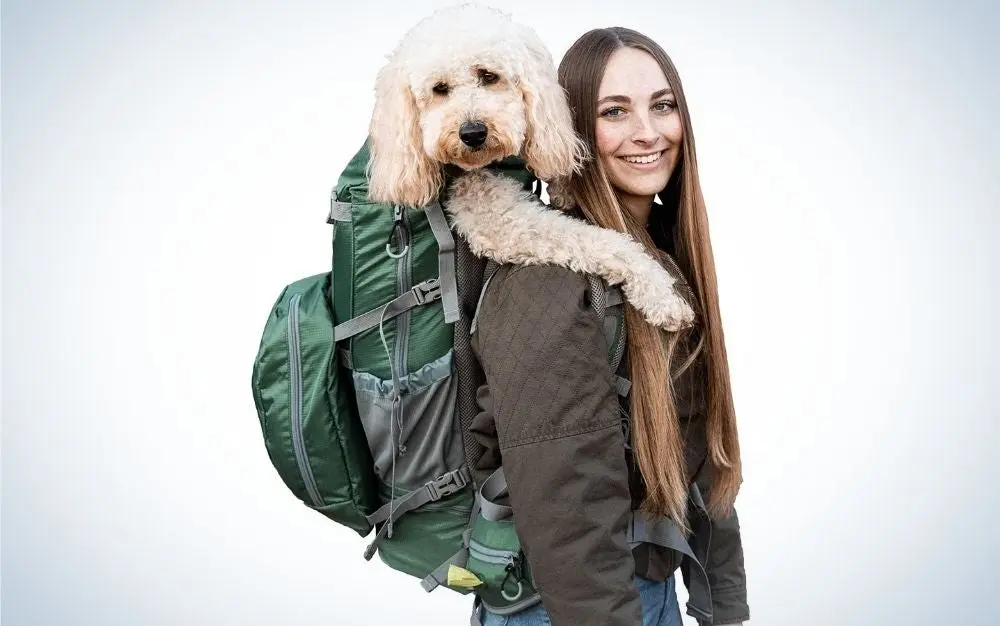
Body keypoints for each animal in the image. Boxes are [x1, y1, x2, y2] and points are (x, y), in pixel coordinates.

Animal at [366, 3, 696, 332]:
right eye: (439, 89)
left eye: (488, 75)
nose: (472, 133)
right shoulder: (502, 223)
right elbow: (602, 243)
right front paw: (662, 295)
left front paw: (564, 185)